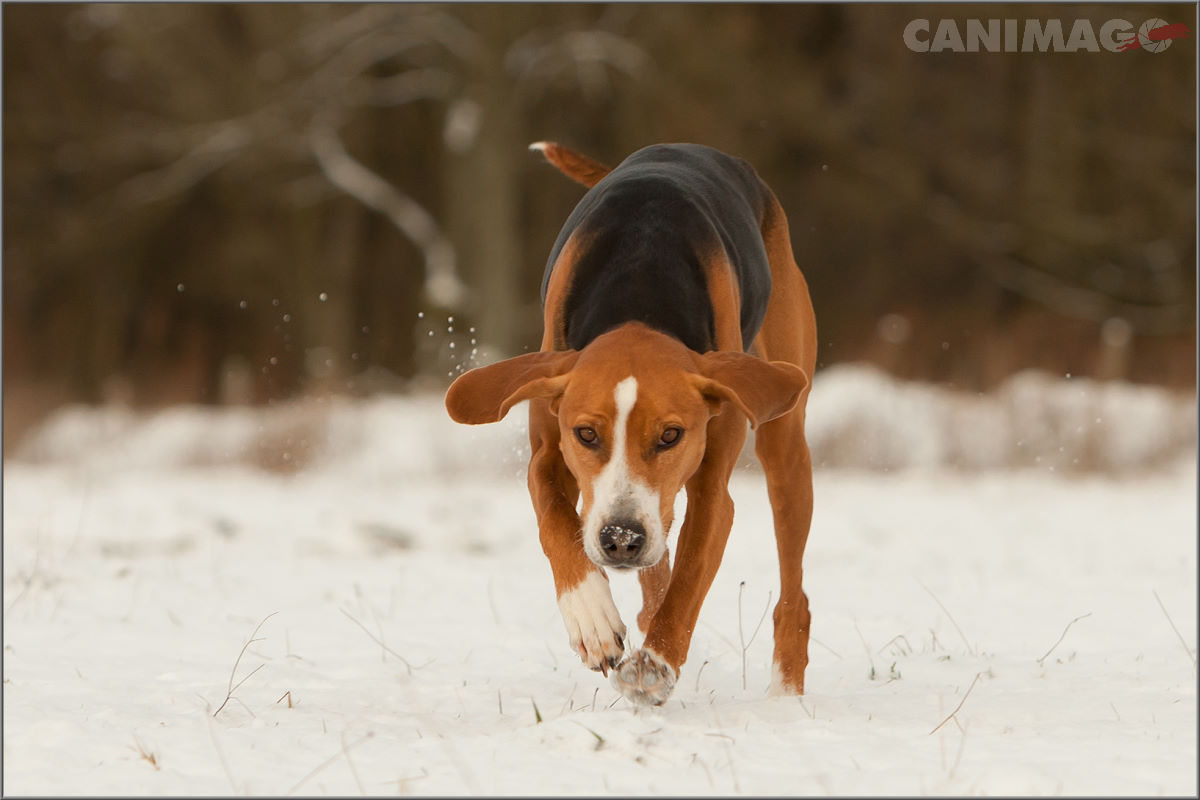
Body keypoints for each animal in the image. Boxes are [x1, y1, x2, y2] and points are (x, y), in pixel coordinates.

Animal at [446, 143, 820, 705]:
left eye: (670, 435)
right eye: (586, 434)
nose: (621, 540)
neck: (640, 295)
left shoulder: (712, 490)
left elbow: (690, 575)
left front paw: (656, 662)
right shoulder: (547, 453)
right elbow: (556, 522)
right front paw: (593, 618)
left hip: (785, 443)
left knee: (792, 591)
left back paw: (786, 697)